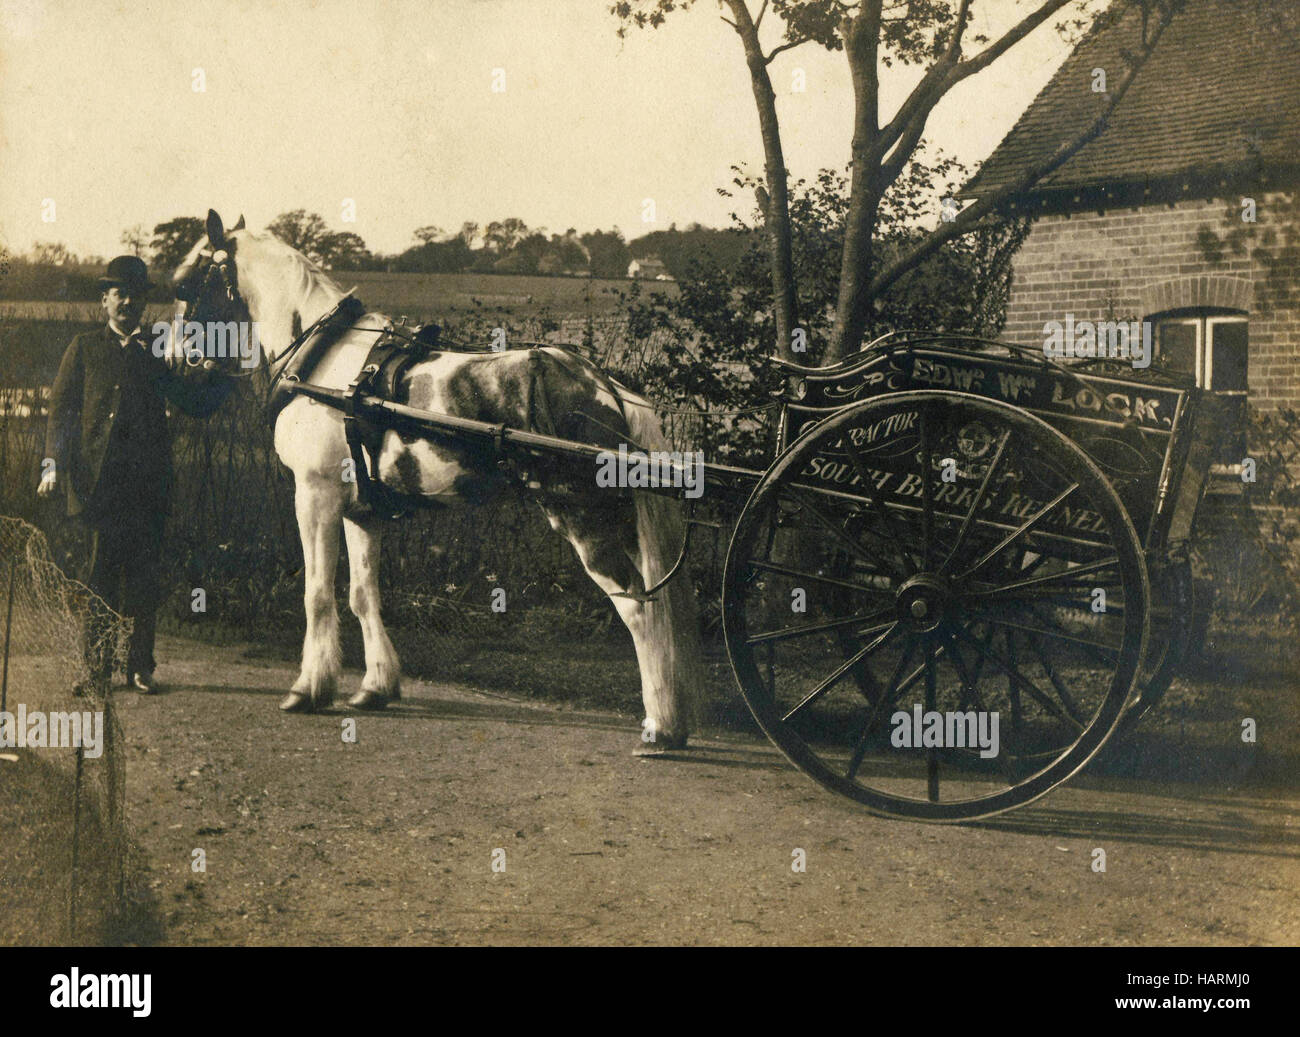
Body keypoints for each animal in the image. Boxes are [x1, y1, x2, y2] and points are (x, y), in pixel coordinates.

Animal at [175, 206, 702, 753]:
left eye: (186, 284)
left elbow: (317, 593)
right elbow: (362, 594)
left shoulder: (315, 495)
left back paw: (659, 728)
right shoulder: (361, 510)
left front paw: (309, 687)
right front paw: (375, 685)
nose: (179, 366)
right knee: (654, 601)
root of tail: (607, 387)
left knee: (638, 608)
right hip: (621, 518)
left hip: (584, 518)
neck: (325, 362)